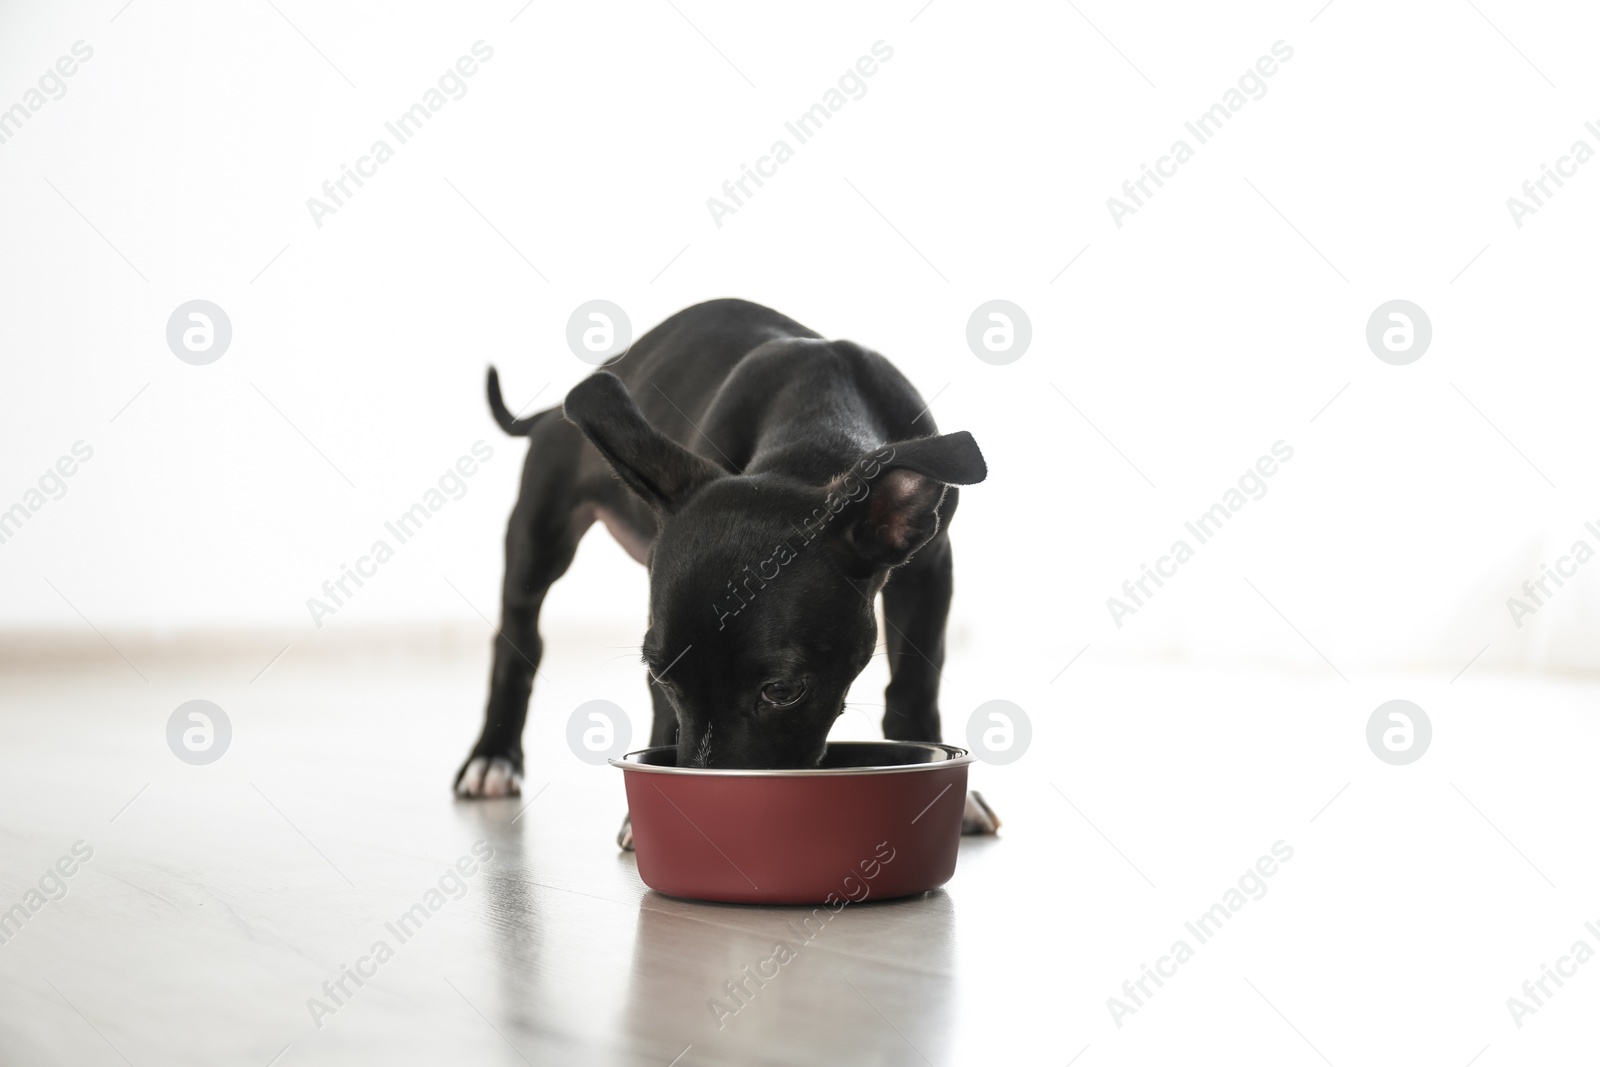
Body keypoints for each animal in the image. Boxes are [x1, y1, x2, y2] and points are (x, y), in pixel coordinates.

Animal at [454, 300, 998, 844]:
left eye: (782, 692)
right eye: (661, 673)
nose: (715, 803)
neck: (815, 424)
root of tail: (549, 416)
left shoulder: (929, 571)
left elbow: (914, 683)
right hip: (537, 541)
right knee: (517, 640)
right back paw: (492, 758)